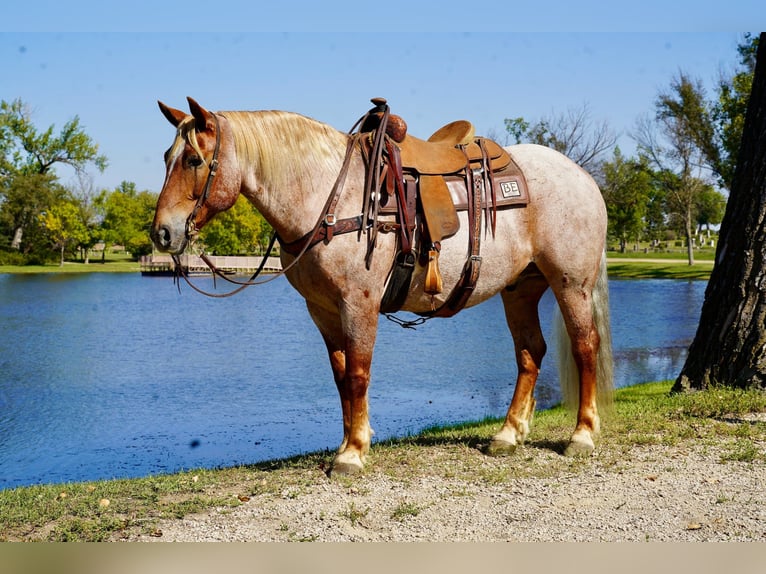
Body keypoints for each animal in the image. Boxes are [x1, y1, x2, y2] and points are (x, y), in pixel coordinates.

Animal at [150, 97, 613, 475]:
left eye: (193, 160)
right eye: (167, 157)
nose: (162, 234)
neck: (328, 199)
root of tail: (581, 175)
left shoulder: (359, 302)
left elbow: (358, 373)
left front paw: (353, 454)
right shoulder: (322, 309)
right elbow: (340, 377)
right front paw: (348, 442)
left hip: (570, 283)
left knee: (584, 346)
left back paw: (582, 435)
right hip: (521, 288)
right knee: (529, 354)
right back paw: (508, 435)